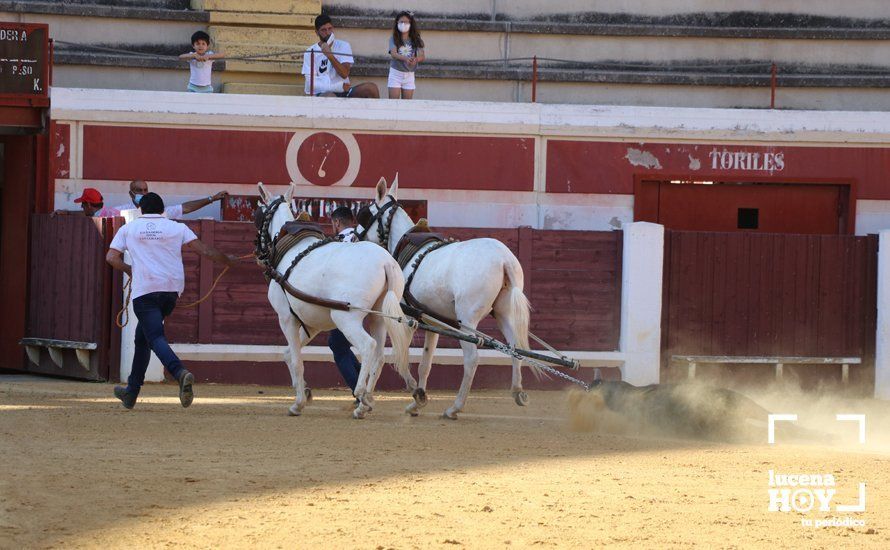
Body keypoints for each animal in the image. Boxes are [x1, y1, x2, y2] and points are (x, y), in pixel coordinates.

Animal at [253, 183, 412, 420]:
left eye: (258, 214)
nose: (257, 253)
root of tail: (386, 262)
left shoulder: (286, 318)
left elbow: (297, 361)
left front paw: (298, 403)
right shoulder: (312, 323)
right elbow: (289, 354)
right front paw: (304, 390)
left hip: (346, 319)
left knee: (368, 346)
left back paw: (361, 395)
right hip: (379, 318)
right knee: (379, 355)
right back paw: (365, 402)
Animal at [354, 179, 536, 420]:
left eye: (364, 213)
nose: (354, 236)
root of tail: (504, 259)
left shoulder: (407, 319)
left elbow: (396, 357)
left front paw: (370, 401)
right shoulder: (432, 323)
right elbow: (425, 363)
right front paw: (416, 401)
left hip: (467, 321)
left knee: (472, 359)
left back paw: (455, 407)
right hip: (503, 313)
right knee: (515, 348)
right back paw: (517, 391)